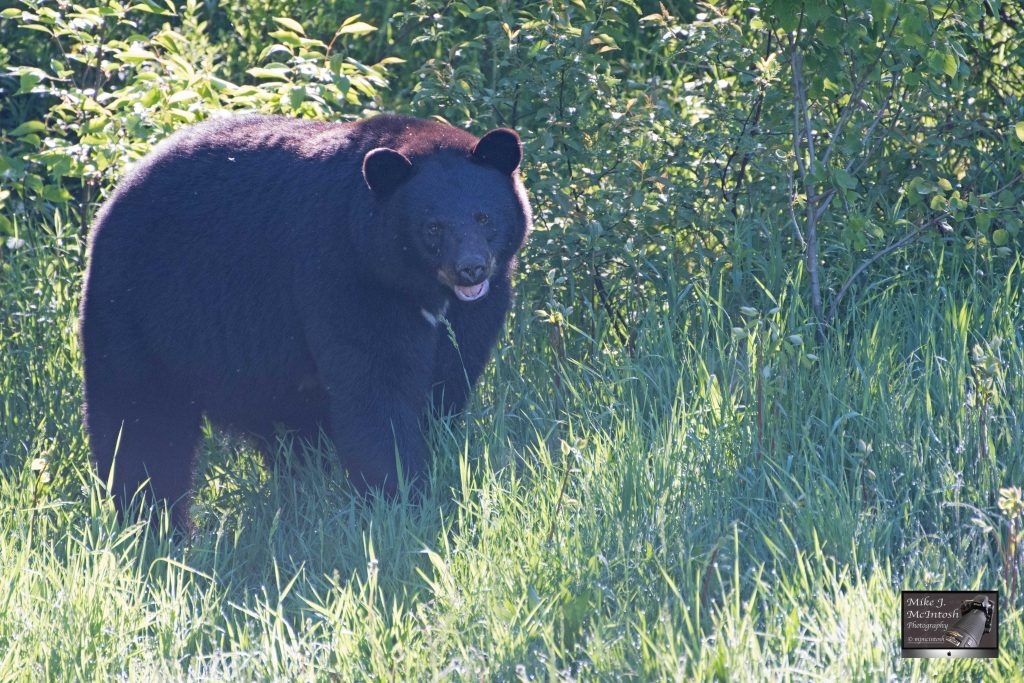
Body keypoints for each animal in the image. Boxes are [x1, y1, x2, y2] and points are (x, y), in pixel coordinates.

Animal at [76, 113, 532, 528]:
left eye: (484, 217)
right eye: (432, 227)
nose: (470, 269)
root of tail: (117, 195)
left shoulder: (475, 311)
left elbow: (449, 378)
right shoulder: (345, 275)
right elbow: (377, 385)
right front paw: (401, 498)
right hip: (141, 309)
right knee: (140, 420)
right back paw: (153, 523)